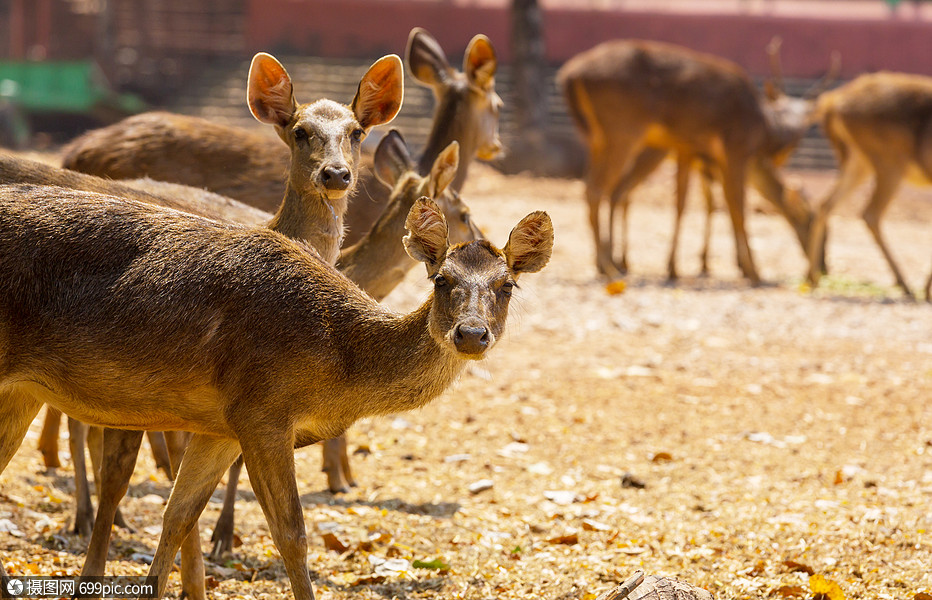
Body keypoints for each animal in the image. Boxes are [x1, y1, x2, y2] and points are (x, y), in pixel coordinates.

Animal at [0, 184, 552, 600]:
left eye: (506, 285)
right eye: (441, 280)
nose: (471, 334)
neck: (337, 366)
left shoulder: (220, 426)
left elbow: (176, 517)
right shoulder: (262, 409)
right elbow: (292, 534)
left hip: (21, 393)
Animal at [808, 72, 932, 300]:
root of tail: (833, 101)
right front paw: (927, 289)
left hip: (857, 160)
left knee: (825, 204)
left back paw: (813, 278)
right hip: (888, 163)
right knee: (870, 213)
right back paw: (905, 285)